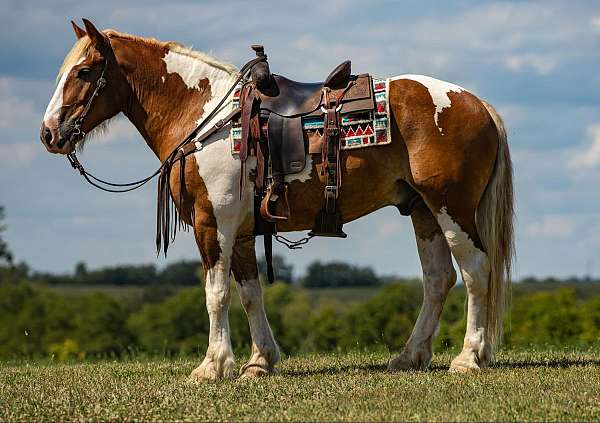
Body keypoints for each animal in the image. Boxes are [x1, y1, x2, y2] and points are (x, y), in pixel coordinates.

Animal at [41, 18, 516, 380]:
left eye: (84, 72)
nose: (48, 133)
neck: (205, 116)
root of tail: (477, 103)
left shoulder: (214, 224)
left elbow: (216, 293)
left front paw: (212, 366)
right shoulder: (242, 231)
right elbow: (250, 292)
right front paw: (259, 361)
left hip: (451, 209)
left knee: (475, 272)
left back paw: (468, 357)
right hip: (423, 212)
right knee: (438, 279)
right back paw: (410, 356)